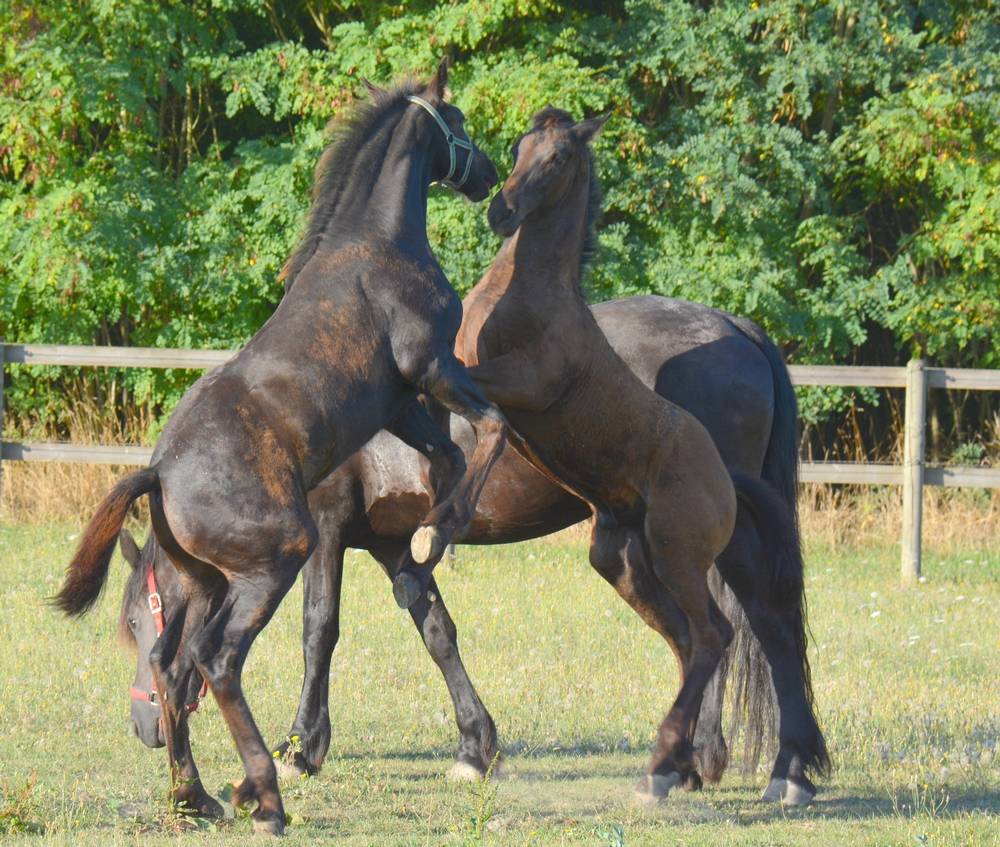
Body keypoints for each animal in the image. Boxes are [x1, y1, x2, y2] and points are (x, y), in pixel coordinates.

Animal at [55, 61, 510, 835]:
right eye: (461, 125)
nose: (489, 179)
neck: (375, 246)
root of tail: (160, 472)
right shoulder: (431, 368)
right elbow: (492, 426)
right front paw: (436, 531)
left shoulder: (400, 402)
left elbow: (448, 463)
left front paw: (430, 536)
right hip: (275, 560)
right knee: (216, 661)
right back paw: (261, 794)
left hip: (210, 579)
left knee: (178, 667)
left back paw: (197, 795)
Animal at [119, 294, 821, 800]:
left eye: (135, 621)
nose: (146, 728)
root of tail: (735, 327)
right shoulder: (396, 545)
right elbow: (437, 632)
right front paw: (474, 747)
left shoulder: (325, 530)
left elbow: (319, 630)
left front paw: (301, 747)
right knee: (719, 629)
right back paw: (708, 759)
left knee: (751, 625)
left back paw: (757, 765)